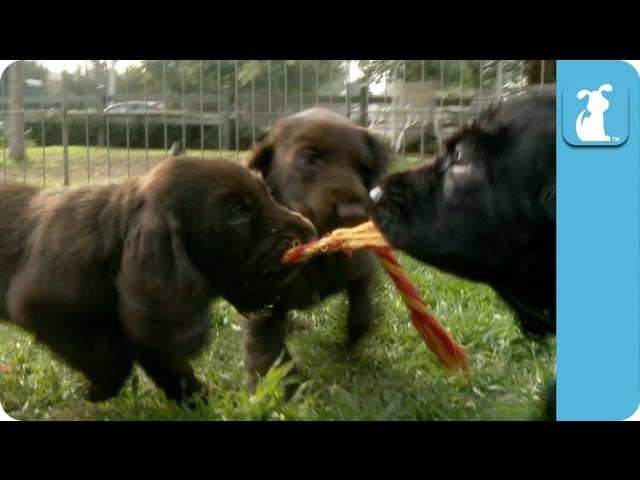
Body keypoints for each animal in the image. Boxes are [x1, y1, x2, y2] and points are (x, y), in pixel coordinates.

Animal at [0, 157, 316, 402]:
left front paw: (201, 400)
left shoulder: (145, 315)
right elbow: (108, 361)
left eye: (268, 194)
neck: (115, 240)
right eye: (236, 214)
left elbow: (169, 366)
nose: (311, 232)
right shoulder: (37, 308)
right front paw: (99, 390)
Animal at [240, 107, 390, 392]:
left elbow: (362, 304)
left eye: (364, 169)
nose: (353, 213)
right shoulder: (263, 305)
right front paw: (284, 391)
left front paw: (352, 342)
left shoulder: (361, 266)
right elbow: (269, 353)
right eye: (309, 158)